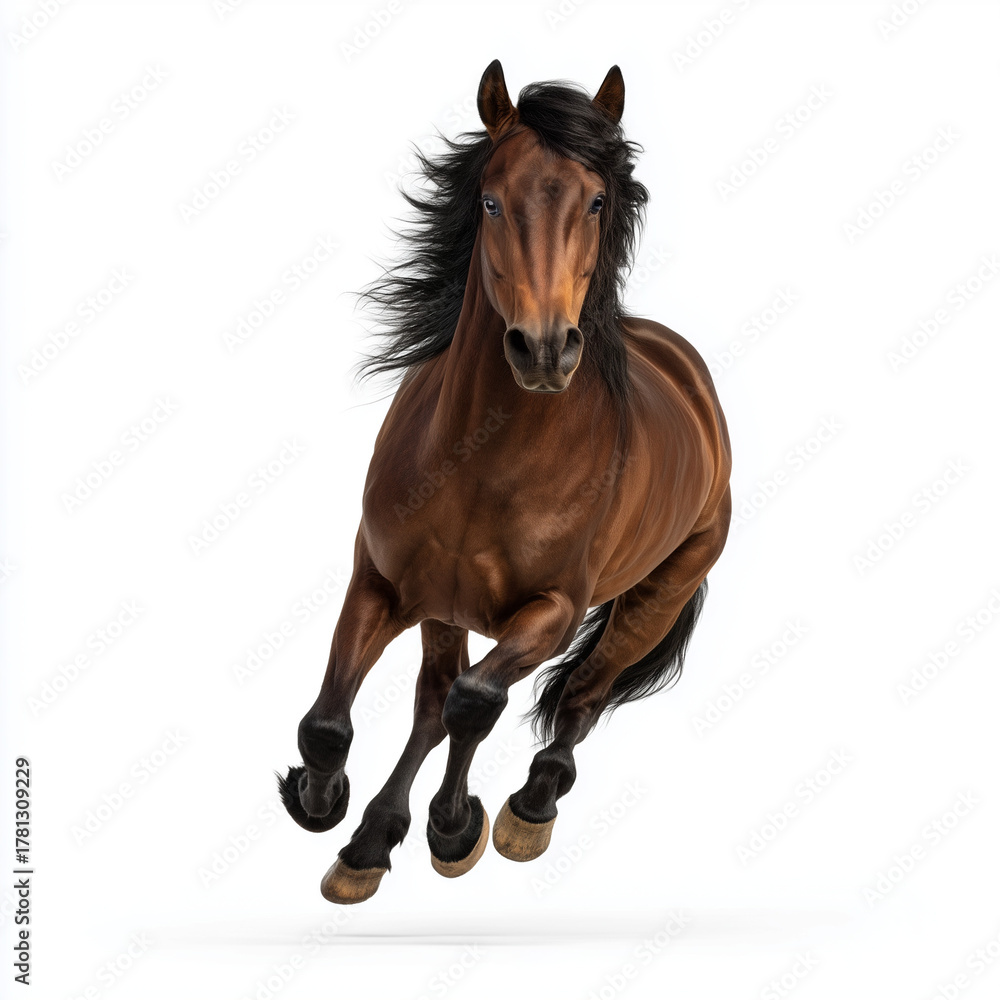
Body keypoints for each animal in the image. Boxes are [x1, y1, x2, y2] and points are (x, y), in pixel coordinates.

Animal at [278, 60, 732, 903]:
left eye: (596, 200)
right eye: (491, 200)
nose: (545, 349)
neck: (489, 462)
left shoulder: (551, 612)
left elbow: (478, 703)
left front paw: (455, 827)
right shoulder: (381, 581)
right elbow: (331, 721)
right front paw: (321, 801)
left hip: (658, 596)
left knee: (579, 697)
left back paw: (527, 809)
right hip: (443, 606)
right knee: (432, 702)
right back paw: (369, 842)